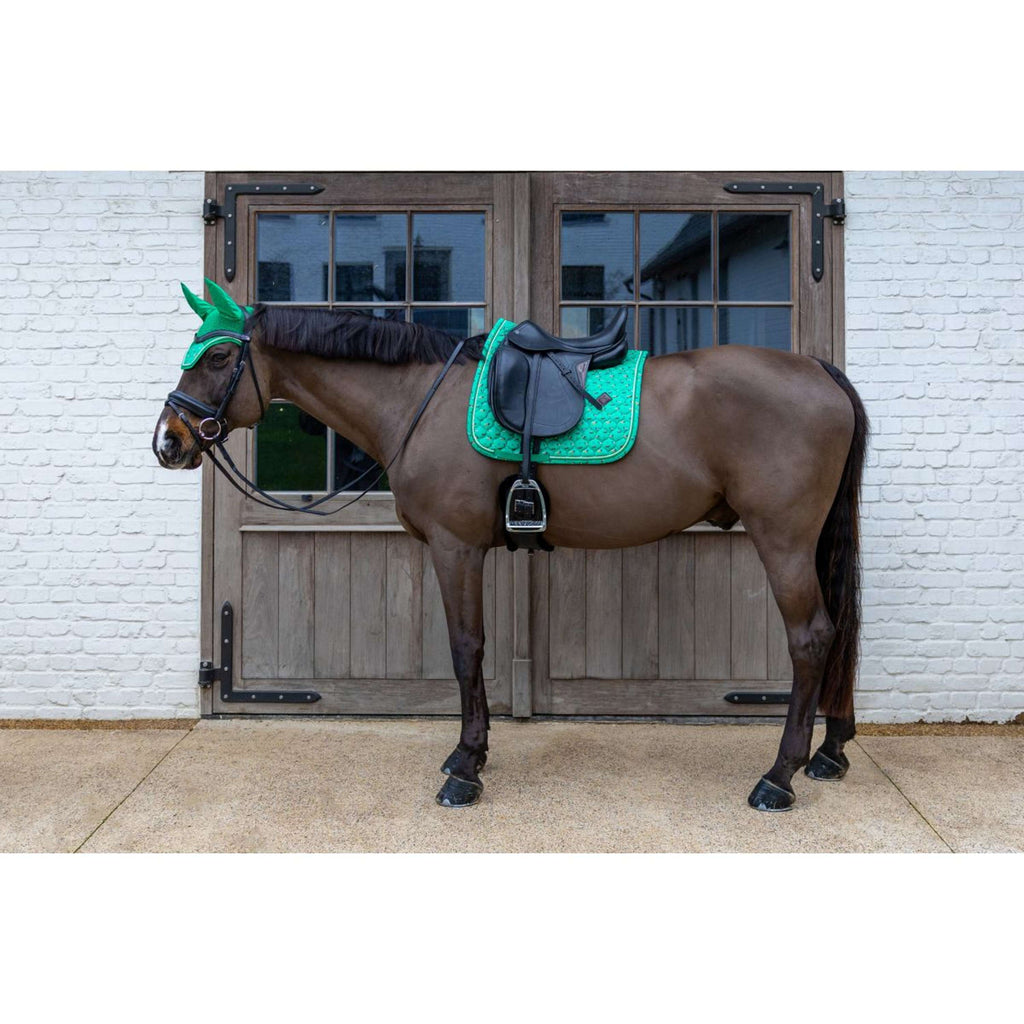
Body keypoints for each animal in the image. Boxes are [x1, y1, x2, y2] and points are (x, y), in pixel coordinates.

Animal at [153, 285, 868, 813]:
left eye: (218, 358)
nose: (169, 441)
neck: (419, 400)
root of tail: (818, 369)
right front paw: (469, 753)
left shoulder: (456, 548)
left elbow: (467, 647)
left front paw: (465, 770)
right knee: (838, 632)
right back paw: (830, 752)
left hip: (783, 540)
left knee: (811, 638)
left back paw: (778, 777)